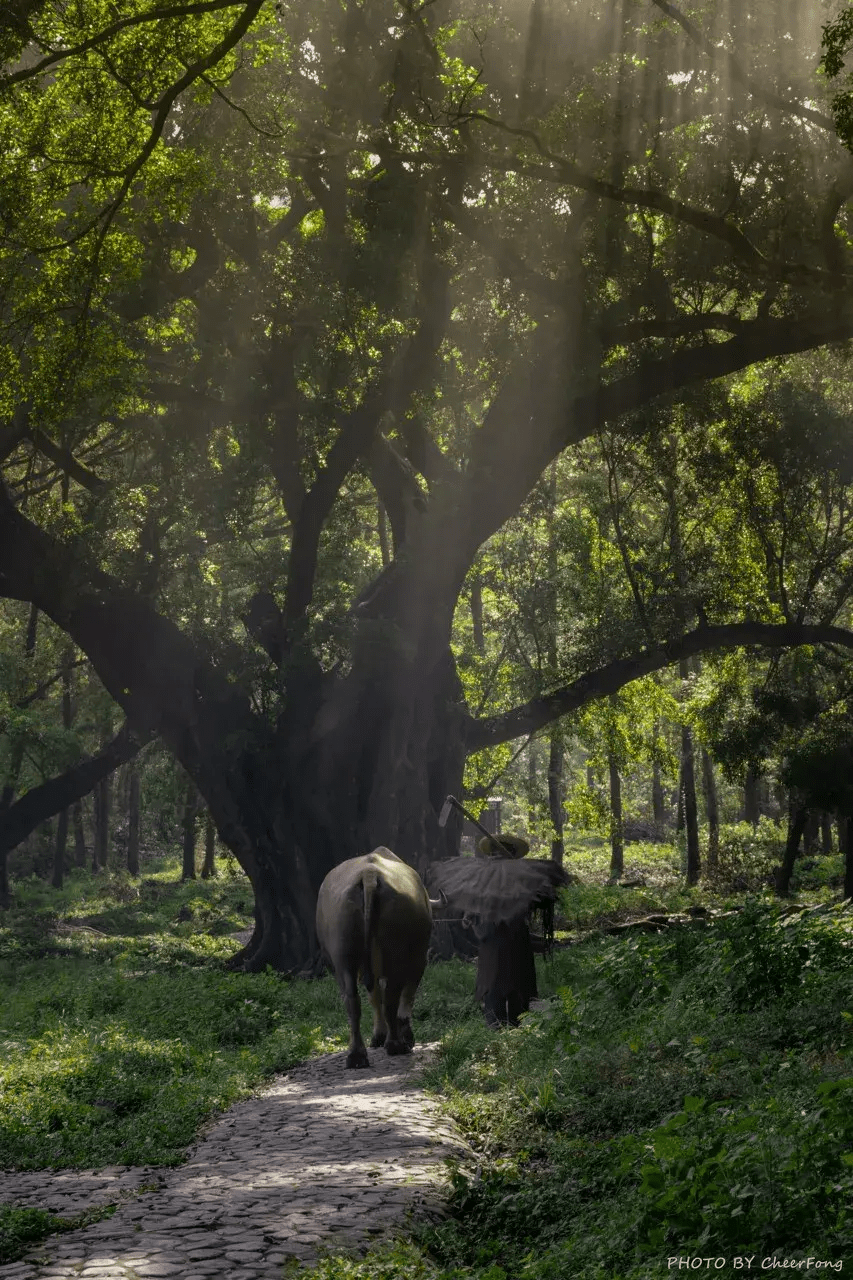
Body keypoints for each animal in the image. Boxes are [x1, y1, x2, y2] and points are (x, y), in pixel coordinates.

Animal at [317, 849, 438, 1070]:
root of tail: (369, 875)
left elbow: (374, 998)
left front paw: (378, 1036)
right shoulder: (419, 961)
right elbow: (406, 998)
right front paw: (405, 1036)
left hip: (343, 956)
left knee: (352, 1000)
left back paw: (357, 1055)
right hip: (396, 953)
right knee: (391, 998)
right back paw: (395, 1044)